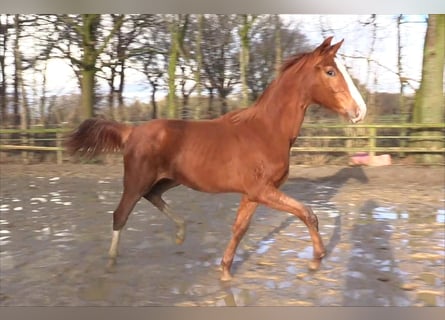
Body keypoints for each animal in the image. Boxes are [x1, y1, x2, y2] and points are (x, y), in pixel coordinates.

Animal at [65, 37, 364, 280]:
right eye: (330, 71)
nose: (359, 111)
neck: (266, 130)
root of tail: (131, 130)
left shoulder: (254, 194)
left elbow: (240, 228)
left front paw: (225, 270)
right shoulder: (262, 190)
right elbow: (308, 213)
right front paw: (316, 260)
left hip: (170, 179)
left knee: (154, 196)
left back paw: (181, 232)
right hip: (136, 180)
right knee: (121, 214)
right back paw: (112, 262)